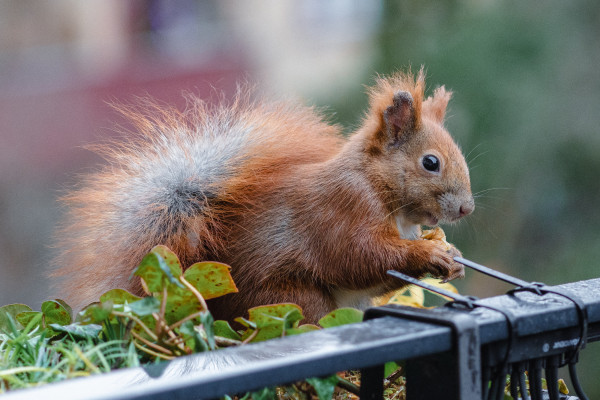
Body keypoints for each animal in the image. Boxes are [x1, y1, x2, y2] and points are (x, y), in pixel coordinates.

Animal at [54, 69, 474, 324]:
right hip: (289, 302)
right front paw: (431, 254)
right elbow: (359, 256)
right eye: (431, 162)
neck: (378, 187)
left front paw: (453, 256)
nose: (466, 208)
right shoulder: (341, 210)